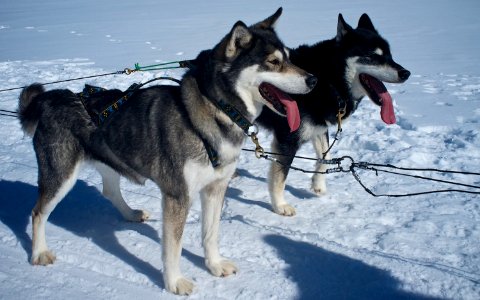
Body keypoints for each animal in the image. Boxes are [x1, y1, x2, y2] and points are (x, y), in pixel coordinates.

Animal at [18, 8, 316, 296]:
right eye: (273, 62)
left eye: (290, 58)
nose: (313, 79)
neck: (216, 108)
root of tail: (51, 97)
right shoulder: (177, 196)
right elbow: (173, 246)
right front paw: (174, 282)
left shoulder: (215, 188)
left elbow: (210, 234)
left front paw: (214, 265)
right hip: (60, 177)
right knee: (37, 213)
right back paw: (39, 252)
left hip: (109, 162)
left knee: (110, 191)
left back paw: (130, 214)